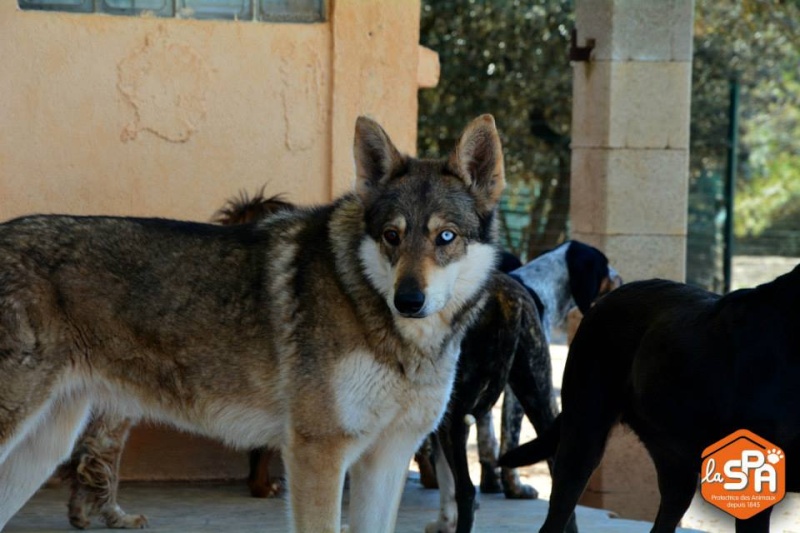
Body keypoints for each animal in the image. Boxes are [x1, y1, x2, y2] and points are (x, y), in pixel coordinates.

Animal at [0, 114, 506, 528]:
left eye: (446, 237)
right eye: (391, 236)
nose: (408, 300)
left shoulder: (387, 459)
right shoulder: (318, 452)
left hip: (44, 447)